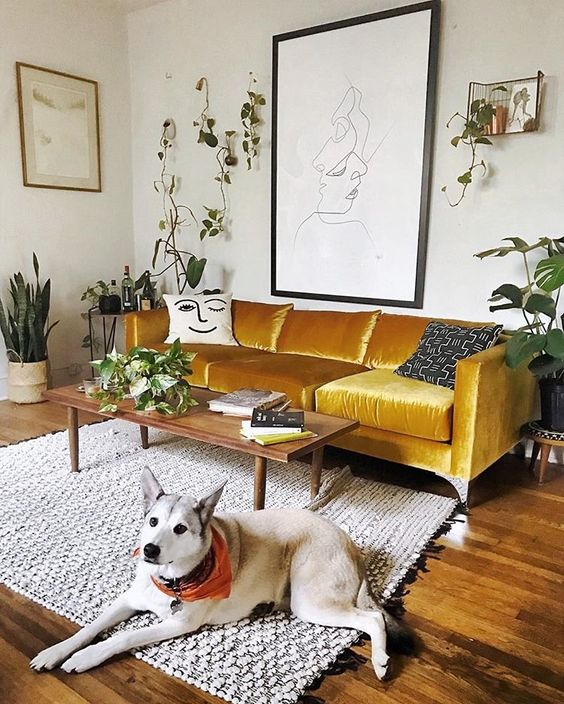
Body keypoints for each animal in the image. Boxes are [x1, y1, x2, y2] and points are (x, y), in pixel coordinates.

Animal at [30, 468, 412, 676]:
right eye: (152, 521)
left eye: (180, 529)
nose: (150, 550)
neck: (171, 580)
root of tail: (347, 540)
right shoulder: (127, 600)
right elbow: (90, 627)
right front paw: (57, 651)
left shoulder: (178, 623)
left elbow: (121, 637)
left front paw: (86, 657)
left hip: (310, 601)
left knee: (373, 619)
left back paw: (380, 660)